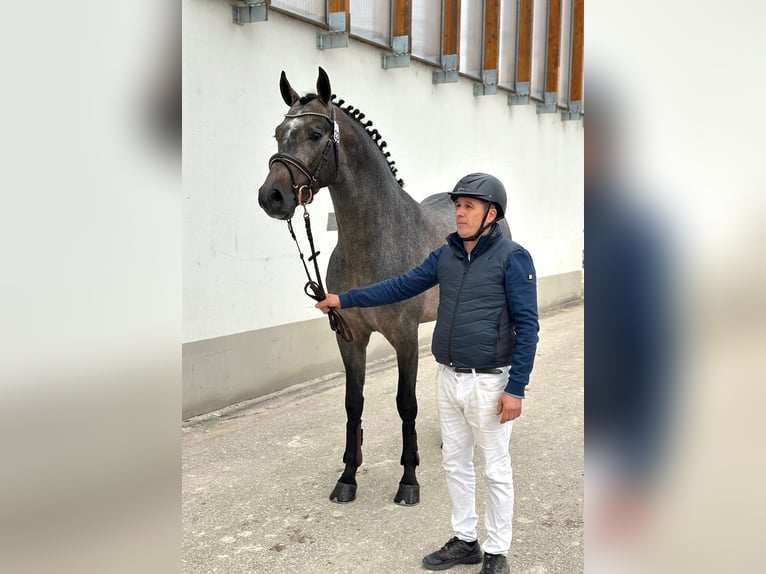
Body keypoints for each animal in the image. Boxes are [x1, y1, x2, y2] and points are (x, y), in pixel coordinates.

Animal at [258, 67, 511, 505]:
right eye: (278, 133)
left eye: (315, 134)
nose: (271, 196)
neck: (374, 242)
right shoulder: (350, 337)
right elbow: (353, 403)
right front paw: (348, 476)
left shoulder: (404, 337)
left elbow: (405, 403)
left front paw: (409, 479)